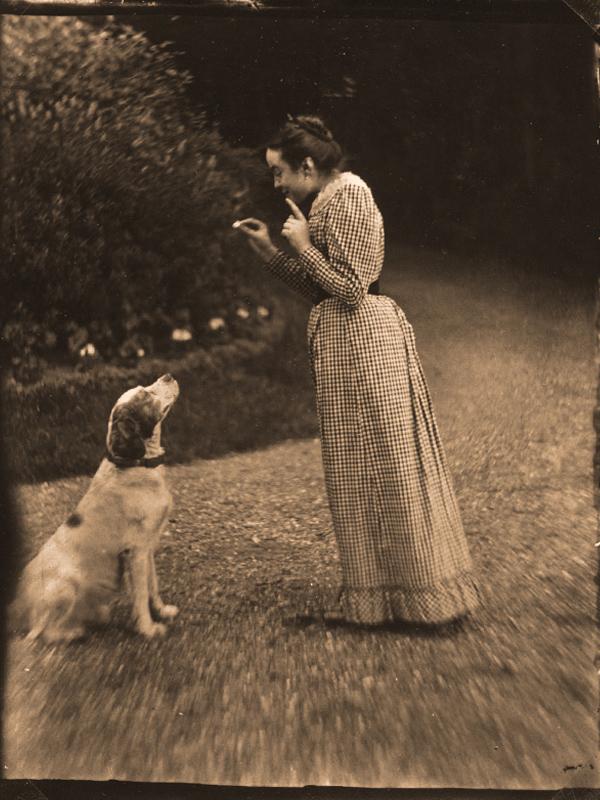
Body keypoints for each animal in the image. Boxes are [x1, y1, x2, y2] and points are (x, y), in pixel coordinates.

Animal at [10, 373, 180, 643]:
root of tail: (17, 609)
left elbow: (153, 586)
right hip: (67, 585)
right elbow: (141, 595)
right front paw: (148, 629)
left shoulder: (148, 547)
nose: (168, 376)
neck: (135, 463)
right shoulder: (136, 551)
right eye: (145, 395)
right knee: (41, 633)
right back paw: (73, 632)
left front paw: (162, 612)